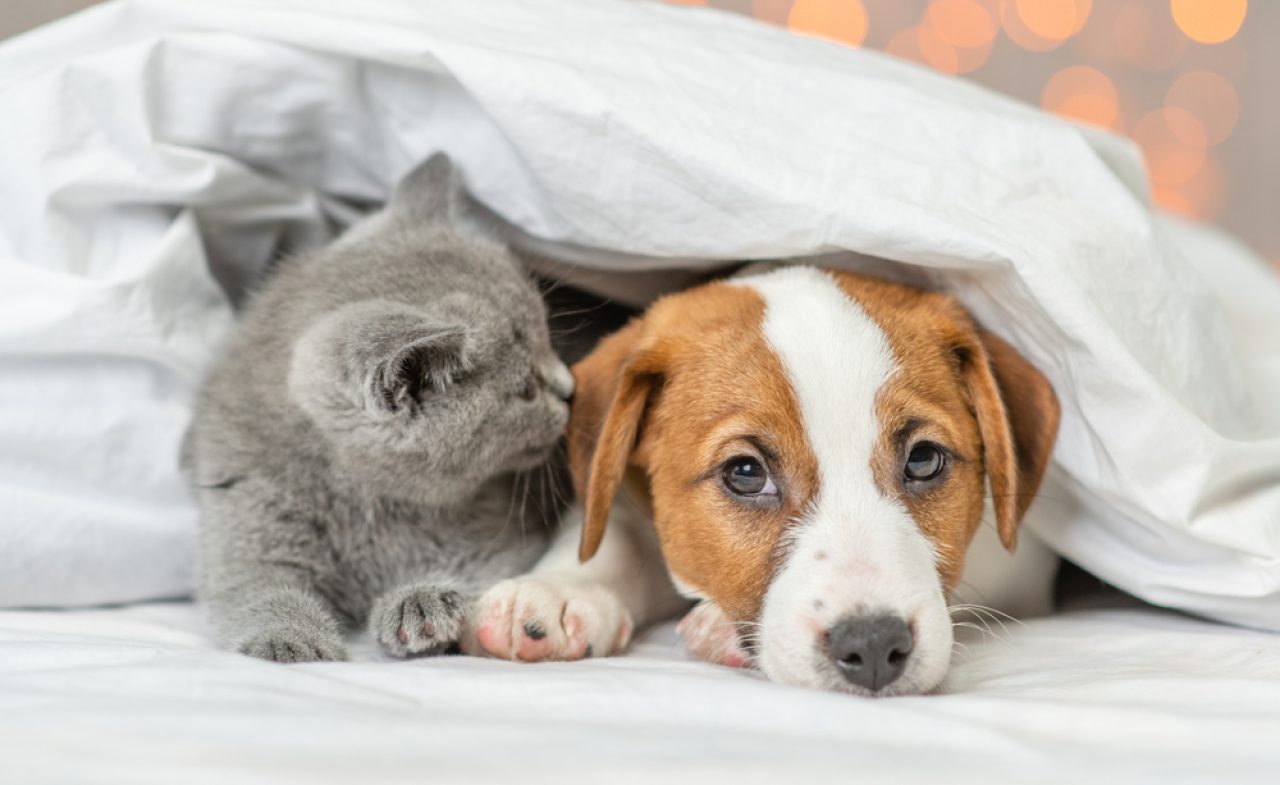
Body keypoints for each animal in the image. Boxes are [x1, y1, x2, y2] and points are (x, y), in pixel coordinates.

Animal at [184, 154, 570, 660]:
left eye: (550, 343)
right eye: (525, 390)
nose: (571, 388)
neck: (363, 502)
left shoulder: (503, 541)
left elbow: (490, 581)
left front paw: (420, 602)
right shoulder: (244, 512)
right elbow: (257, 591)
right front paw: (289, 640)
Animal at [465, 266, 1054, 696]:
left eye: (925, 460)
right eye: (745, 473)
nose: (872, 647)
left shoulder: (1024, 564)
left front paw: (717, 626)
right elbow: (612, 540)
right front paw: (560, 590)